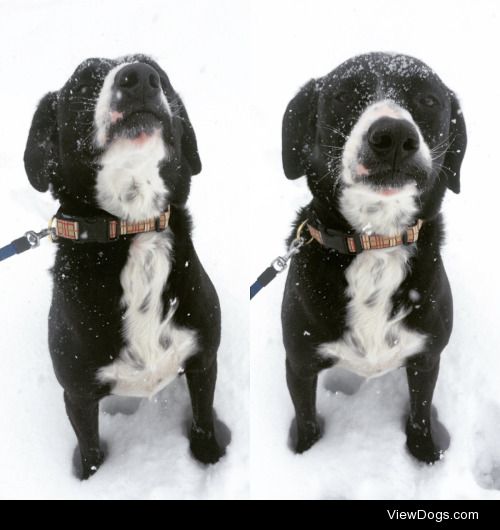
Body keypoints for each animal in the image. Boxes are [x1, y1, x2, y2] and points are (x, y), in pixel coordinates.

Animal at [24, 55, 225, 476]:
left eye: (159, 73)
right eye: (83, 80)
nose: (141, 78)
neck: (131, 228)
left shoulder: (203, 360)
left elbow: (202, 419)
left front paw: (209, 456)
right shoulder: (77, 393)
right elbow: (90, 449)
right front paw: (92, 478)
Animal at [282, 51, 464, 460]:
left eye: (428, 100)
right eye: (344, 95)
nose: (393, 136)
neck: (375, 242)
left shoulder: (427, 357)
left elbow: (420, 412)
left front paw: (424, 453)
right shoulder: (299, 363)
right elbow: (306, 417)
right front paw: (305, 451)